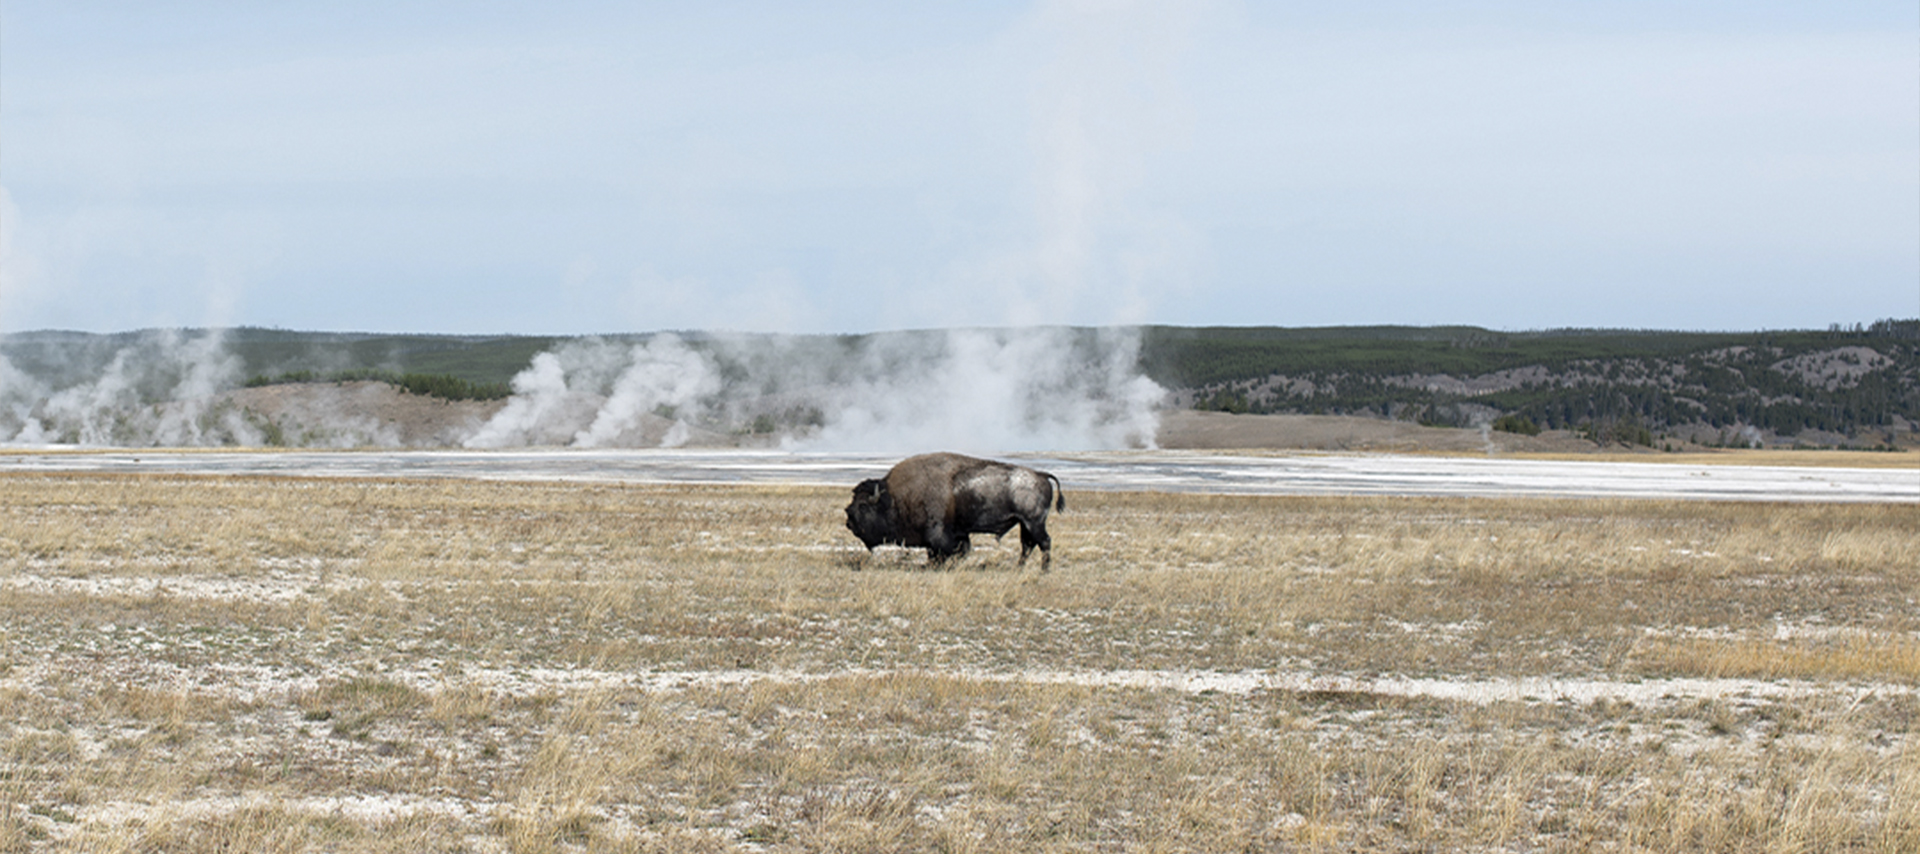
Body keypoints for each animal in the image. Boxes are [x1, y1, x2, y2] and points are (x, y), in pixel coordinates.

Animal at [844, 452, 1063, 569]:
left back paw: (1043, 571)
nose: (848, 521)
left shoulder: (939, 535)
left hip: (1033, 522)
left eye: (863, 506)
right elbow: (958, 550)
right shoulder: (959, 534)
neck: (892, 499)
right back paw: (1018, 568)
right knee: (1027, 545)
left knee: (1043, 542)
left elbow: (946, 552)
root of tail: (1041, 475)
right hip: (1024, 523)